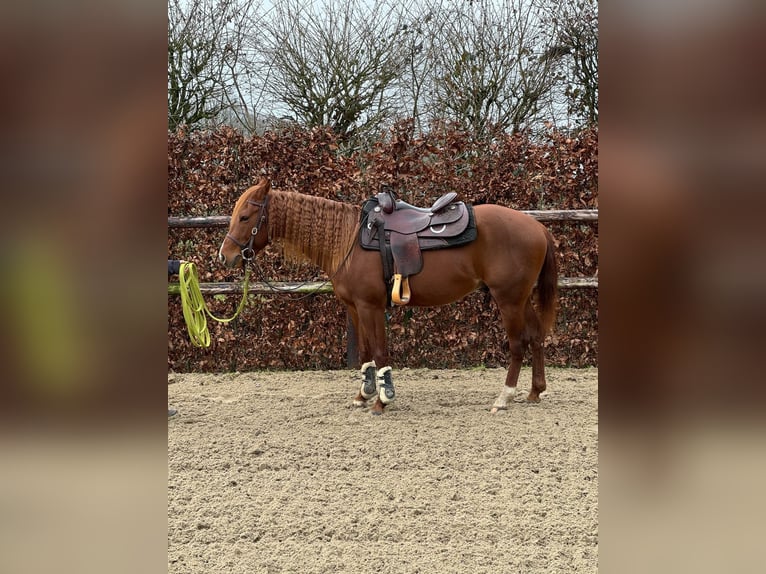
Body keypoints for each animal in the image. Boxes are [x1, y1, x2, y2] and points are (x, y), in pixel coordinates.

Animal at [216, 178, 560, 416]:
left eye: (245, 217)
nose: (225, 256)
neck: (349, 240)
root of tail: (537, 227)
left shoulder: (370, 306)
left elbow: (380, 352)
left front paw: (383, 399)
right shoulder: (355, 308)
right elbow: (366, 352)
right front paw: (364, 393)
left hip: (509, 299)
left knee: (517, 344)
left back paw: (504, 397)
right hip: (521, 298)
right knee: (535, 337)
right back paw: (535, 391)